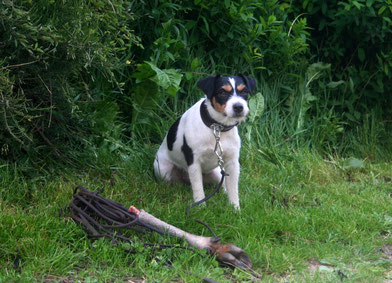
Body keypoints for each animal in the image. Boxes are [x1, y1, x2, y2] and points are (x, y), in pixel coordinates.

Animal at [153, 74, 258, 210]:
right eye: (222, 92)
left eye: (244, 91)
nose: (239, 107)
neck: (217, 128)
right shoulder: (194, 162)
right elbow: (198, 188)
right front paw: (200, 207)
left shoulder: (233, 162)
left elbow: (233, 189)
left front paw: (235, 209)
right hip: (162, 169)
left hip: (217, 173)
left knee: (223, 185)